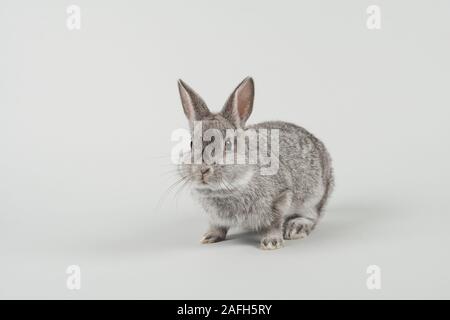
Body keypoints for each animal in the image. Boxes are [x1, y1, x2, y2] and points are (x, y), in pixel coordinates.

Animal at [178, 77, 332, 250]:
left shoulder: (280, 197)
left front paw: (271, 242)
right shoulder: (215, 216)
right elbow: (217, 225)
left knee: (312, 216)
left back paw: (296, 227)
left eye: (228, 144)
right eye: (191, 143)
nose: (203, 169)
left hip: (314, 197)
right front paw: (209, 237)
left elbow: (274, 222)